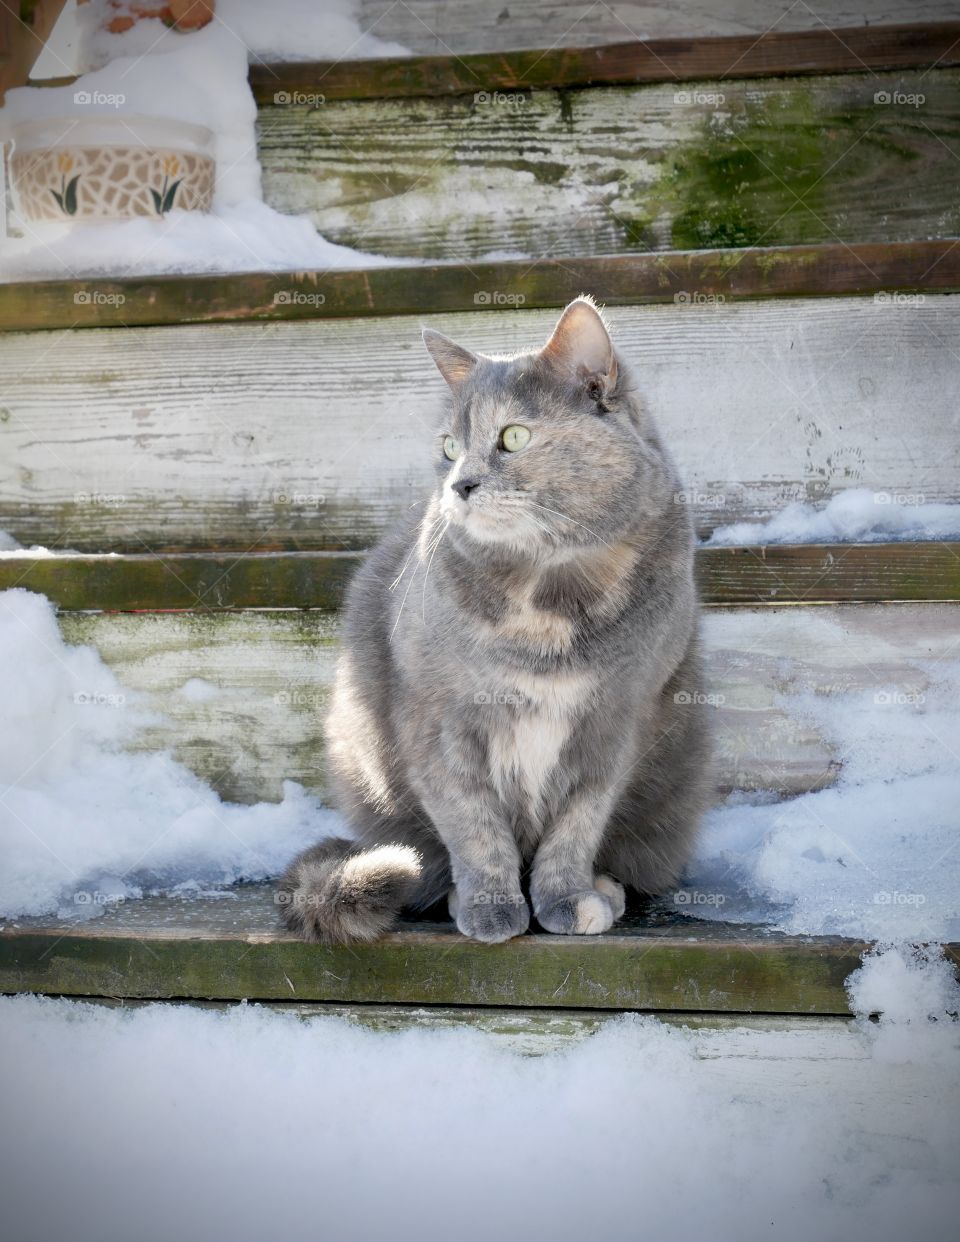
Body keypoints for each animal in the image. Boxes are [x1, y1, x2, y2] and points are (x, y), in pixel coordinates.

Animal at [276, 298, 710, 938]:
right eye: (450, 448)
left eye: (513, 436)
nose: (460, 484)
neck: (546, 592)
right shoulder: (438, 720)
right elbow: (473, 825)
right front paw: (490, 906)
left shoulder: (616, 719)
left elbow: (577, 825)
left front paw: (567, 899)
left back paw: (605, 890)